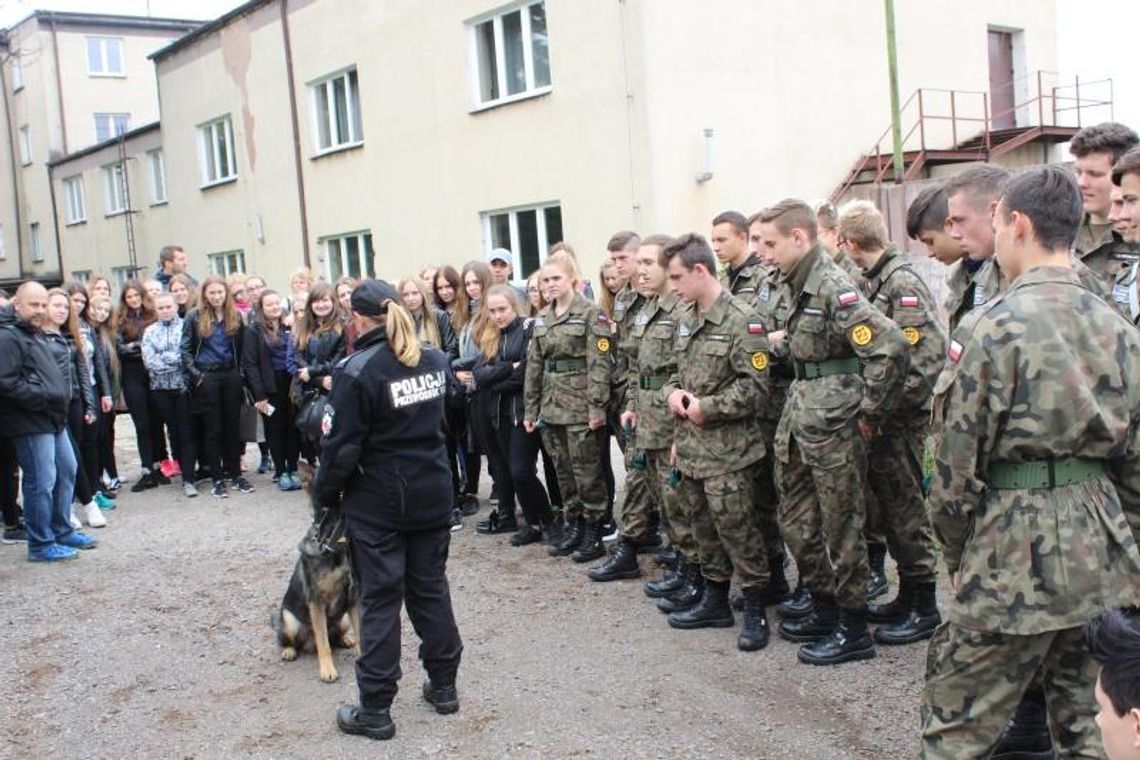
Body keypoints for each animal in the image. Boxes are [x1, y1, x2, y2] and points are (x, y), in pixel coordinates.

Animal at [271, 464, 360, 683]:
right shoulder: (317, 602)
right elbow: (324, 643)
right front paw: (328, 669)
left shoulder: (353, 599)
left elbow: (362, 634)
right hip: (289, 620)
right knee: (289, 640)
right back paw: (289, 650)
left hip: (343, 620)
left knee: (336, 635)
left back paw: (346, 639)